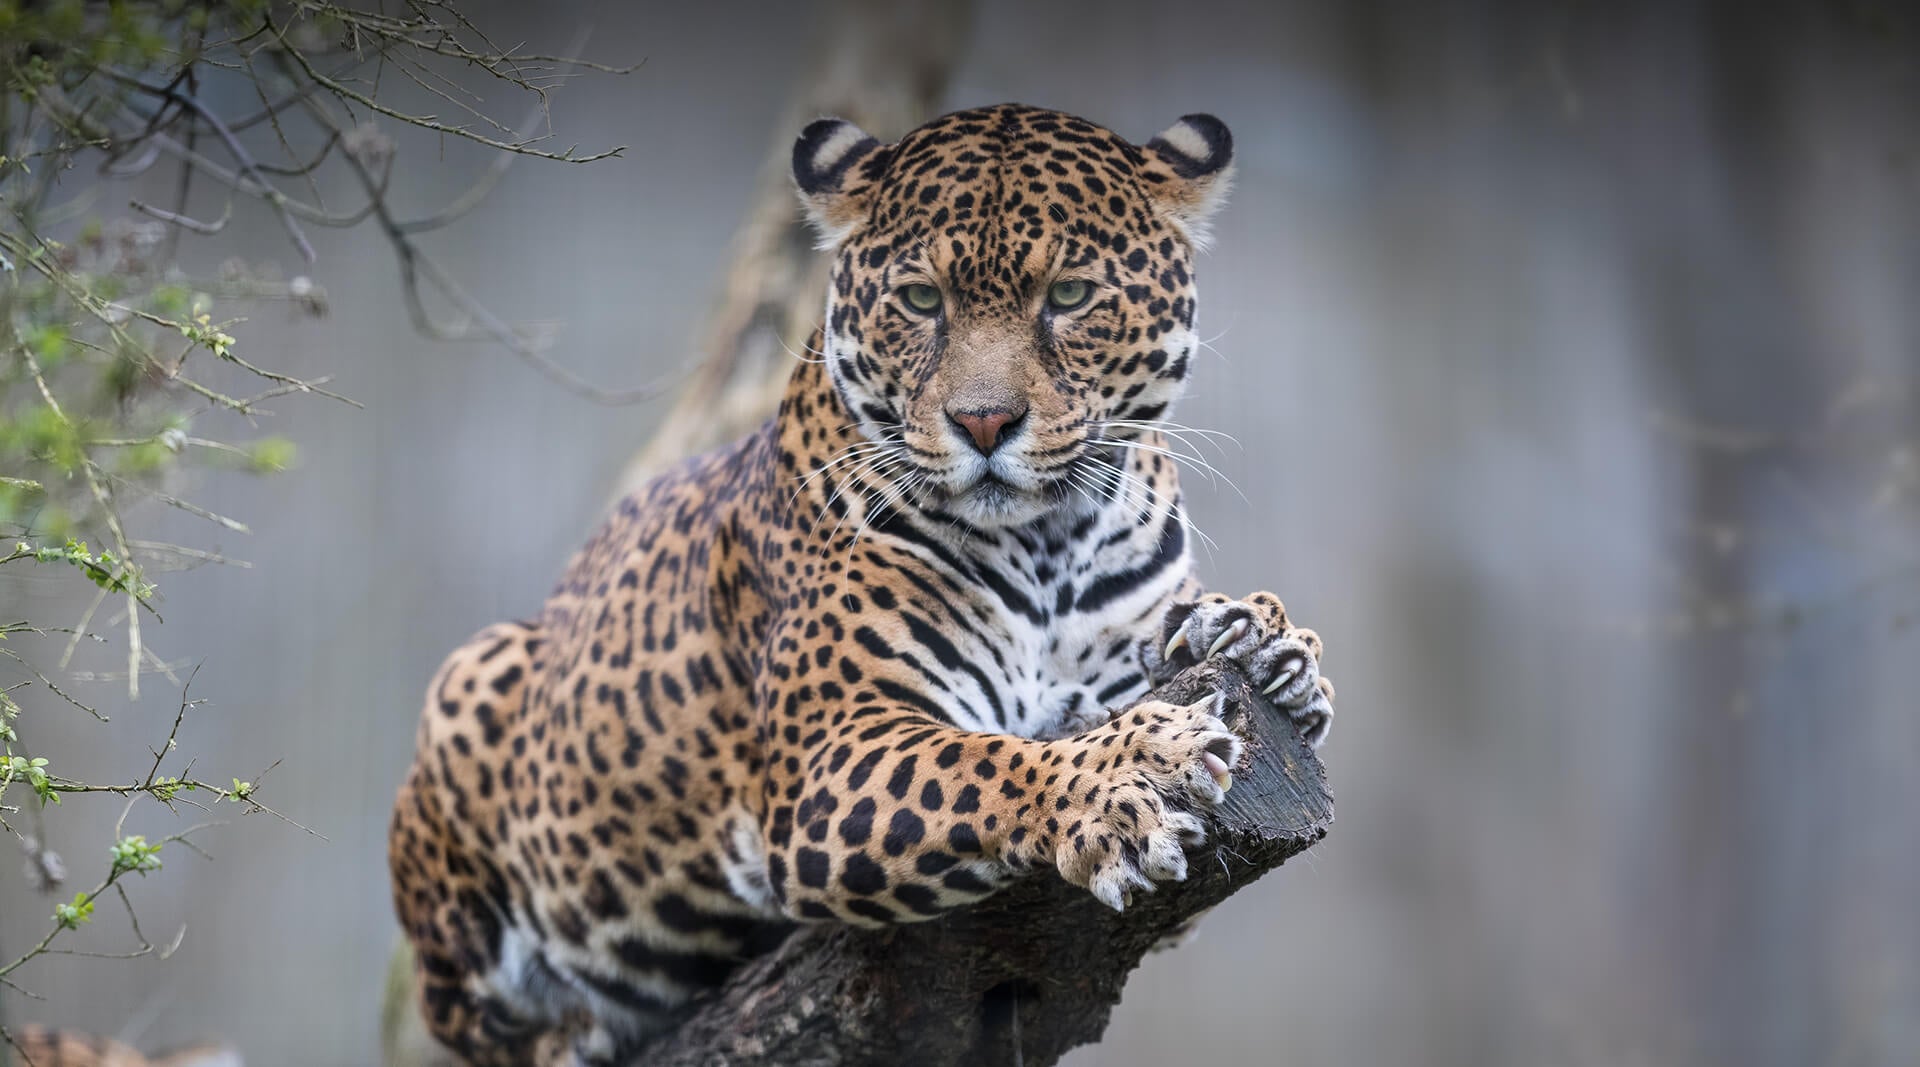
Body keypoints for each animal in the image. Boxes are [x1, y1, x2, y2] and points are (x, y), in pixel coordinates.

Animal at [388, 102, 1336, 1066]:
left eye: (1069, 297)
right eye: (922, 301)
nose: (983, 421)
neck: (1047, 540)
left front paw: (1258, 638)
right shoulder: (826, 757)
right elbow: (983, 761)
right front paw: (1130, 769)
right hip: (470, 686)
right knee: (475, 1016)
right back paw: (568, 1031)